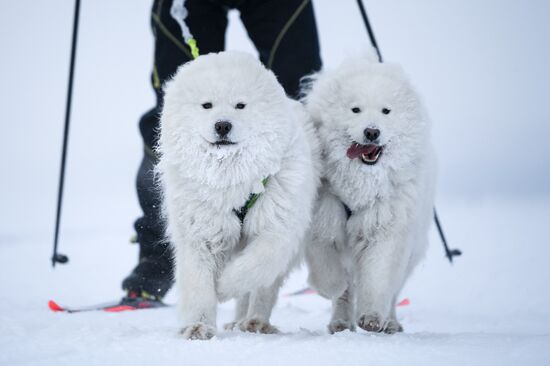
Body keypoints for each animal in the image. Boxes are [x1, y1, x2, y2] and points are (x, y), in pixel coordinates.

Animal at [156, 51, 320, 340]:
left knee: (263, 288)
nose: (223, 125)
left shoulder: (277, 230)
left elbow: (252, 268)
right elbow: (199, 285)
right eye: (207, 105)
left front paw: (222, 288)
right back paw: (240, 322)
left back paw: (256, 322)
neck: (232, 179)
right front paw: (199, 326)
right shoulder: (201, 232)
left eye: (240, 105)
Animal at [304, 55, 438, 334]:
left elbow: (378, 277)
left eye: (386, 111)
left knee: (394, 290)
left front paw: (372, 318)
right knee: (347, 291)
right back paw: (340, 322)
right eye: (355, 109)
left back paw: (390, 323)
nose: (372, 132)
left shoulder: (385, 226)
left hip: (410, 250)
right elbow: (327, 271)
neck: (360, 186)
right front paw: (332, 287)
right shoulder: (324, 220)